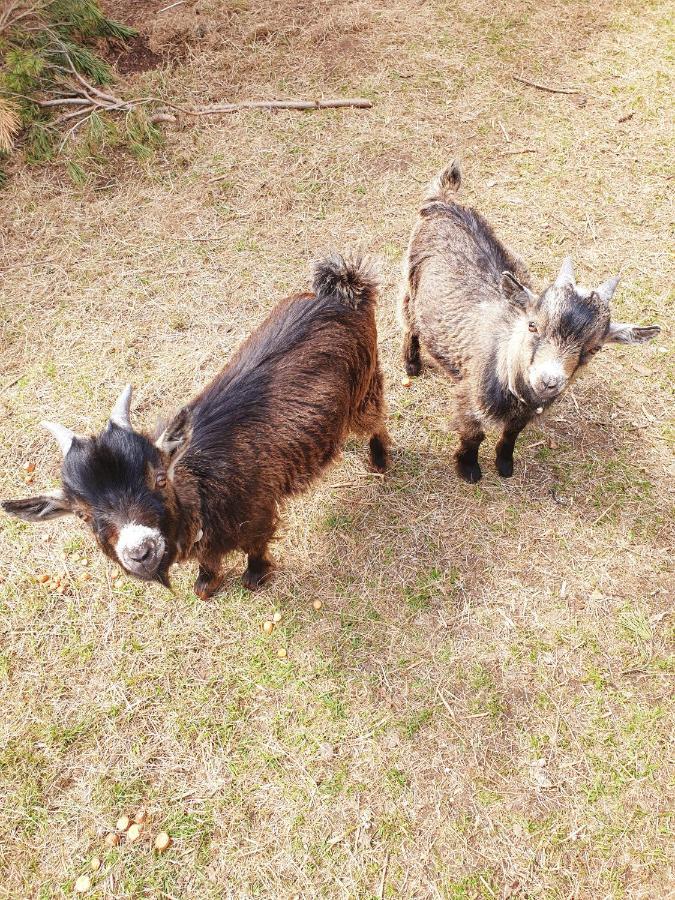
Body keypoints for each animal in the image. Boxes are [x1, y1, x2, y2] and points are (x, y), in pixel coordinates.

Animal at [2, 253, 390, 596]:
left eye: (159, 478)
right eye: (82, 514)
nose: (140, 552)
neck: (201, 485)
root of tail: (340, 292)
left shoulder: (259, 514)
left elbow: (256, 548)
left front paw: (255, 577)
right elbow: (208, 567)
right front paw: (206, 584)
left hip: (365, 387)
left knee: (376, 419)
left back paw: (380, 461)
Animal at [402, 164, 660, 482]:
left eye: (595, 348)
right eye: (533, 325)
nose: (548, 381)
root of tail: (443, 201)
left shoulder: (524, 415)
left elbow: (510, 435)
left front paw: (504, 465)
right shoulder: (470, 396)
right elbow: (473, 434)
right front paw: (469, 468)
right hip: (411, 280)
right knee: (409, 321)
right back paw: (411, 364)